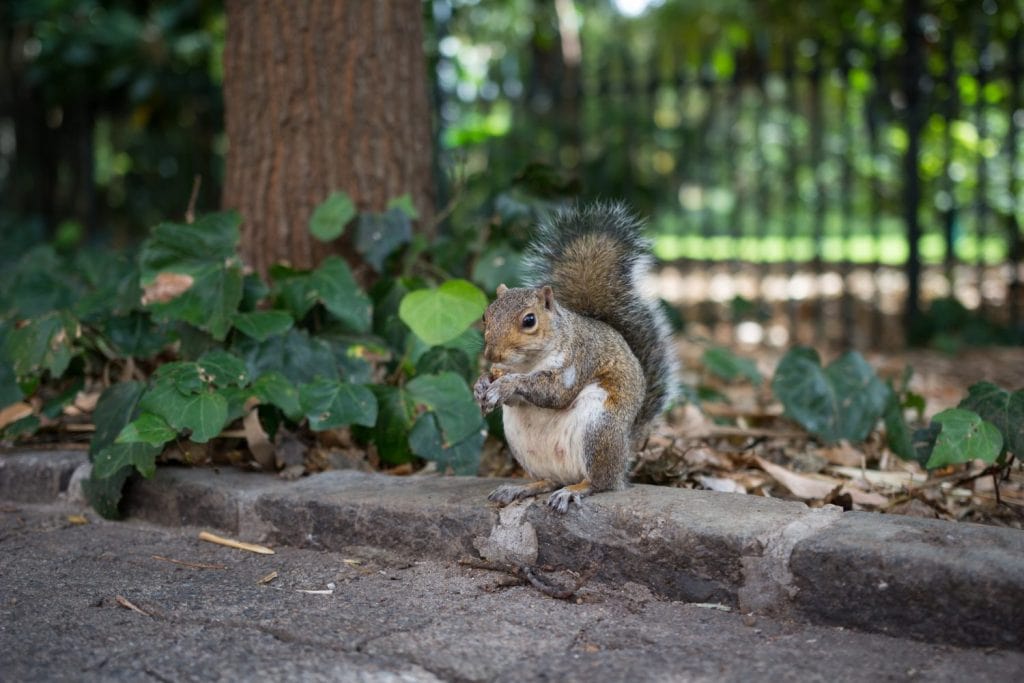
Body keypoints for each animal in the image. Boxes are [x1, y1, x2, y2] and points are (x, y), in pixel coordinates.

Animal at [473, 201, 678, 513]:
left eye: (529, 320)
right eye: (486, 315)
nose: (491, 352)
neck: (528, 362)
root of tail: (624, 454)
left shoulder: (579, 359)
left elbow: (555, 392)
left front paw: (507, 385)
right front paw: (481, 385)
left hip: (598, 430)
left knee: (600, 483)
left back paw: (574, 491)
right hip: (523, 445)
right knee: (549, 480)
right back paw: (521, 488)